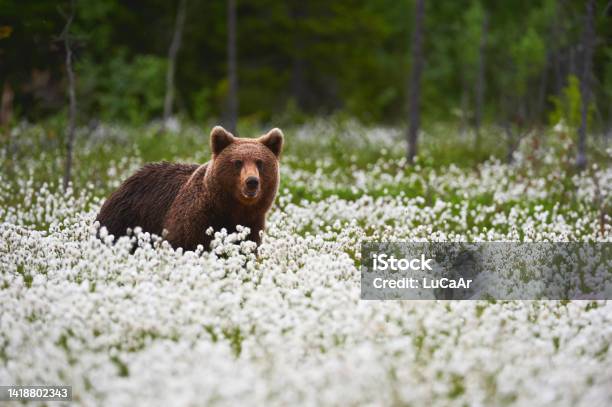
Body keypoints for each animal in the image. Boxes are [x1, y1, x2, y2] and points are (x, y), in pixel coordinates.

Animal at [96, 126, 284, 252]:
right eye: (238, 162)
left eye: (260, 162)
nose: (252, 181)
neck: (231, 209)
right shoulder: (196, 220)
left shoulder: (252, 225)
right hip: (126, 217)